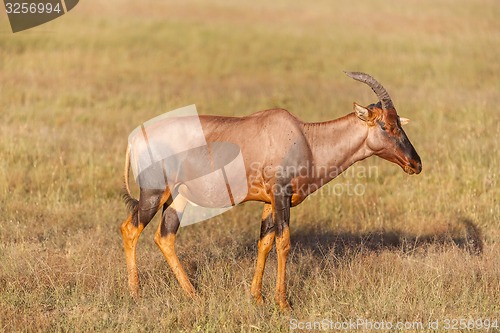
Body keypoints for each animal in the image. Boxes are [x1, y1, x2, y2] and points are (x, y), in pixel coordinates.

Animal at [120, 71, 422, 310]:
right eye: (387, 125)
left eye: (398, 123)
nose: (416, 164)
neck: (304, 138)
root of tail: (135, 138)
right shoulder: (281, 196)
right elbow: (283, 242)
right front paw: (283, 303)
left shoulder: (269, 202)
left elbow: (264, 243)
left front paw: (257, 298)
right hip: (154, 193)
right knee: (130, 229)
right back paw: (136, 294)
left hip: (177, 197)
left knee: (165, 236)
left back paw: (193, 295)